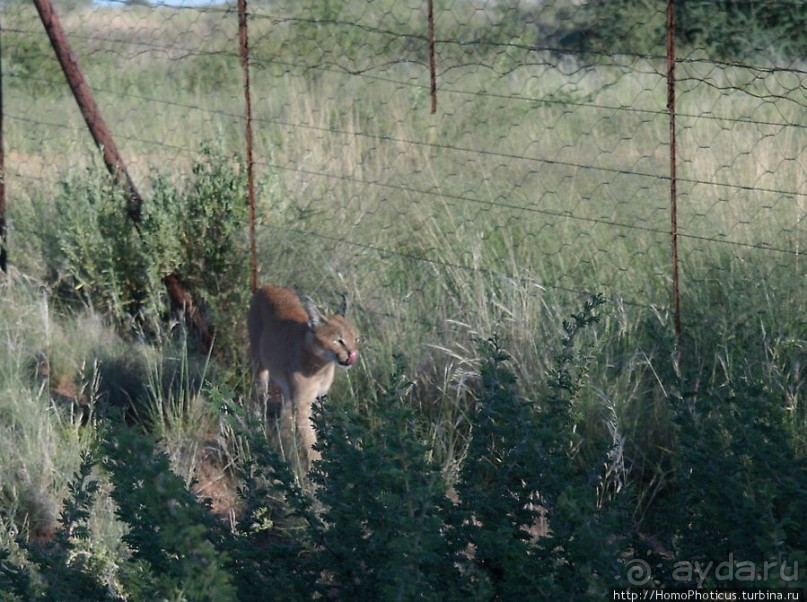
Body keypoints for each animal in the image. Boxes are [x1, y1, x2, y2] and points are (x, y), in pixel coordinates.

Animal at [248, 286, 358, 468]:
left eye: (356, 339)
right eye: (338, 341)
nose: (353, 354)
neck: (322, 365)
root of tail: (266, 287)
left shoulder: (319, 397)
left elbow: (321, 426)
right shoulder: (302, 405)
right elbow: (310, 441)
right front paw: (319, 469)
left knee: (284, 415)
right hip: (259, 366)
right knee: (258, 400)